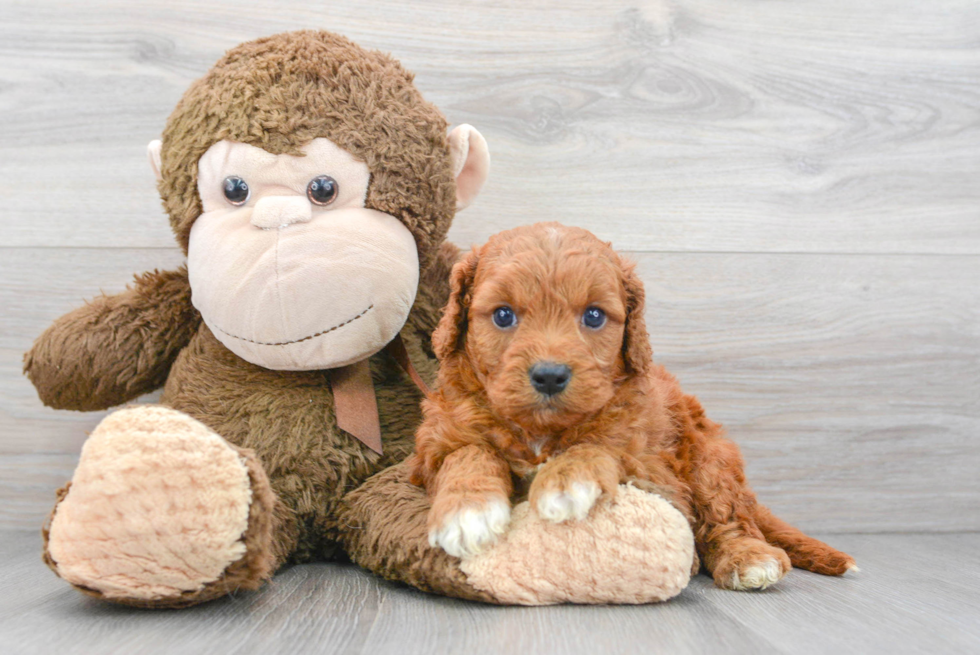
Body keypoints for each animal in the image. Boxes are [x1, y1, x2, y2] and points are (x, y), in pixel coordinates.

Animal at [410, 223, 852, 592]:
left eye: (593, 315)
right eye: (503, 315)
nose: (550, 375)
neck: (540, 431)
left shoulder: (653, 469)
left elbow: (602, 445)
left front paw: (567, 480)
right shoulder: (433, 445)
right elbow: (468, 451)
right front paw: (468, 509)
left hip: (709, 457)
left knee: (727, 516)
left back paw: (750, 558)